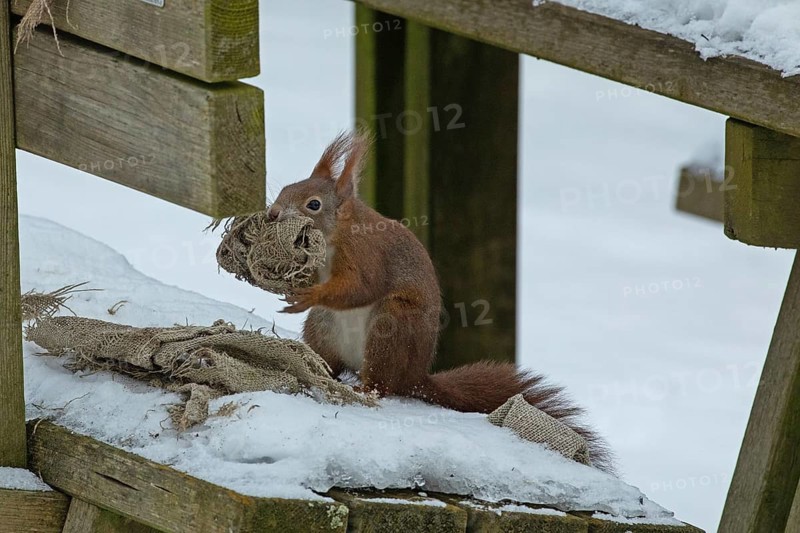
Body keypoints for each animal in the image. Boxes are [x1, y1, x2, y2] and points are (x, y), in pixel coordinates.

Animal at [271, 131, 613, 473]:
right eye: (286, 188)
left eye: (313, 204)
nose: (272, 213)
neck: (337, 235)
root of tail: (415, 377)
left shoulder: (366, 254)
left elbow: (361, 288)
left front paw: (309, 294)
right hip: (323, 327)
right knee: (334, 362)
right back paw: (319, 369)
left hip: (392, 326)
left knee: (382, 383)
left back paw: (364, 388)